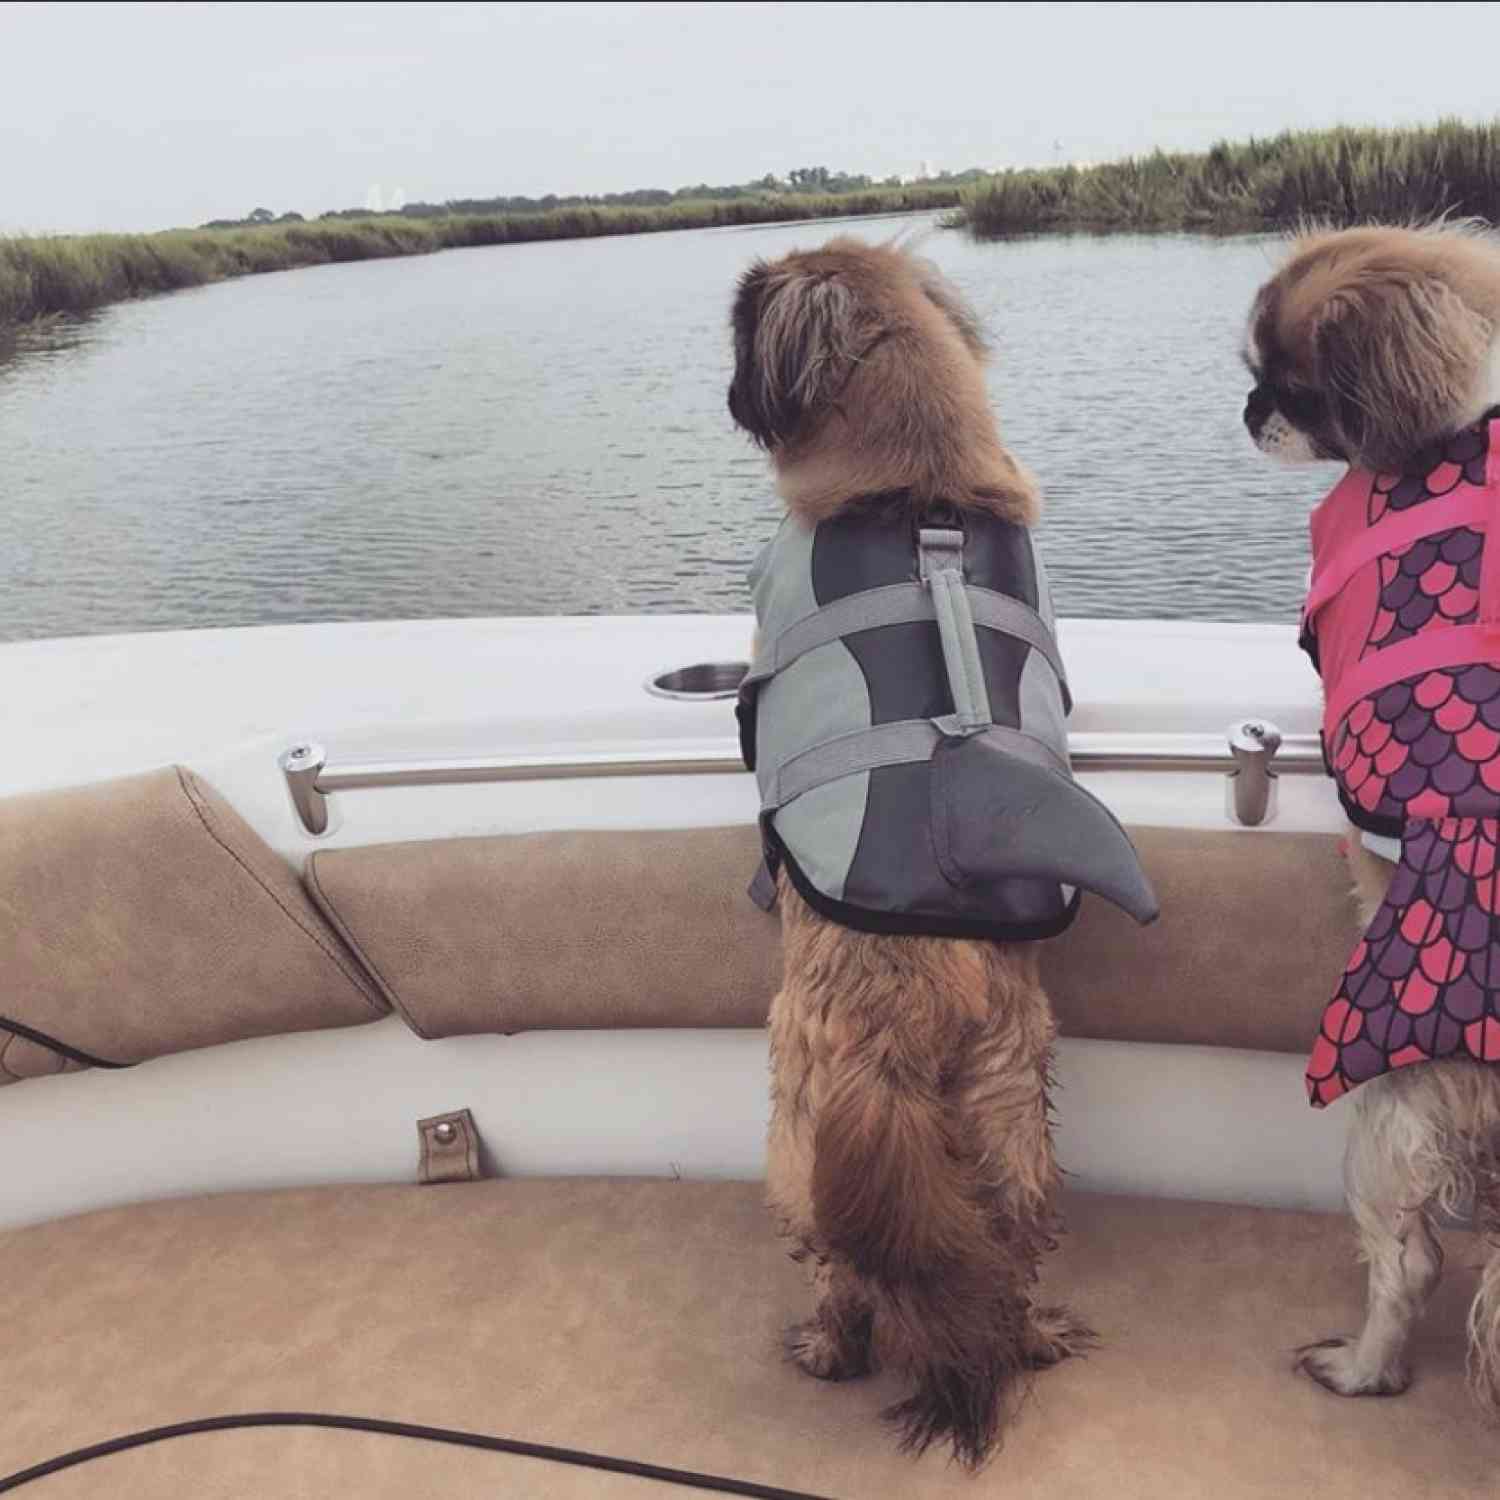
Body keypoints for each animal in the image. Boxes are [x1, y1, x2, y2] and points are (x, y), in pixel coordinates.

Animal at [726, 240, 1092, 1470]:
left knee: (842, 1269)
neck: (924, 500)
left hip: (798, 1141)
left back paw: (827, 1347)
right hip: (1012, 1115)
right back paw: (1030, 1335)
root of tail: (911, 998)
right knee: (1007, 1252)